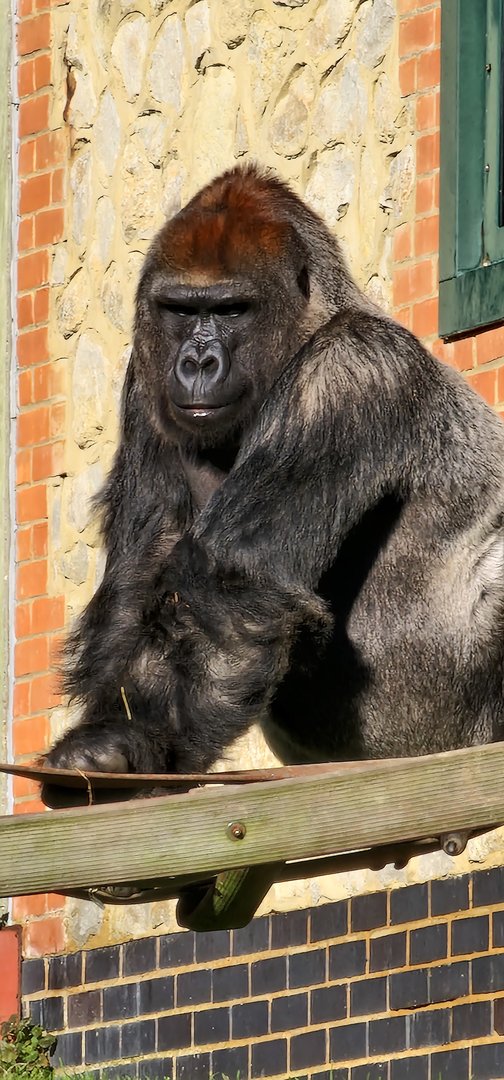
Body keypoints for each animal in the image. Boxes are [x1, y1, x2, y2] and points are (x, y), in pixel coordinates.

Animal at [45, 163, 504, 777]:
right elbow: (140, 580)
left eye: (230, 310)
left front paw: (135, 739)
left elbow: (232, 579)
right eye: (182, 310)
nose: (196, 363)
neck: (311, 327)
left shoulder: (348, 373)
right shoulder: (145, 381)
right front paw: (123, 730)